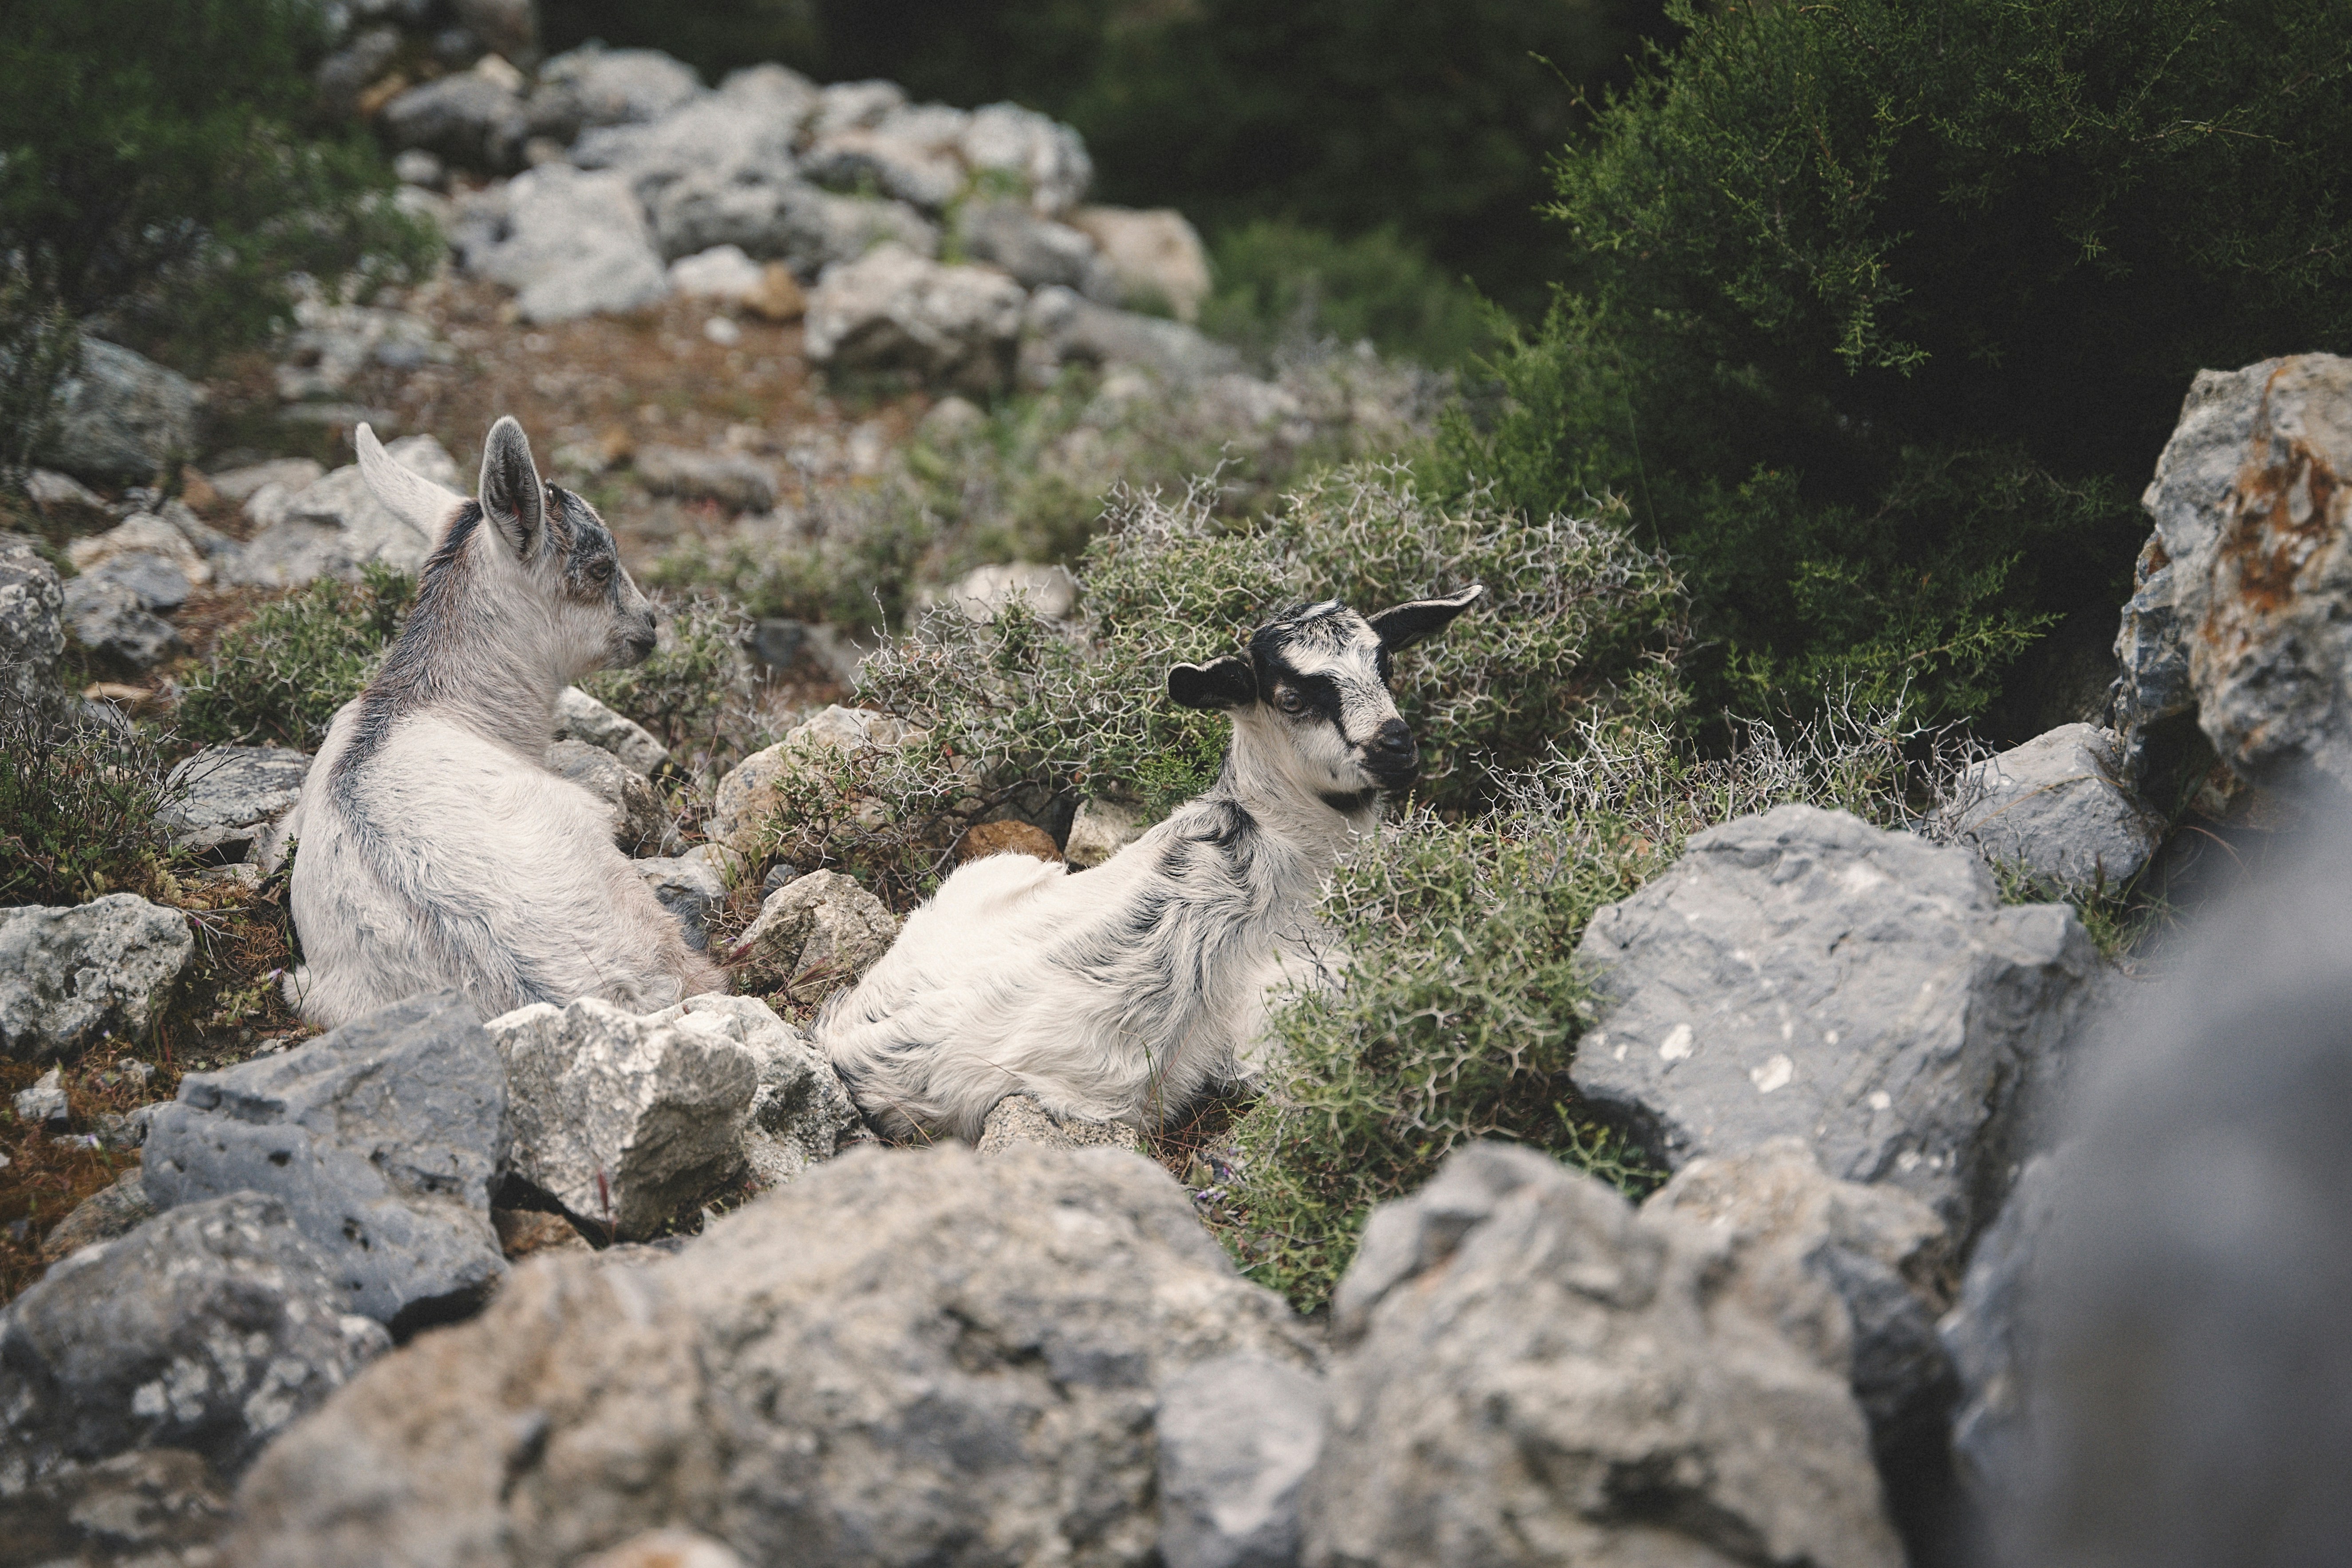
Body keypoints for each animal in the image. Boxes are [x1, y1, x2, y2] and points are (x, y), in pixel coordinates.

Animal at [816, 586, 1484, 1140]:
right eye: (1291, 699)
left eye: (1385, 666)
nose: (1397, 745)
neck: (1280, 841)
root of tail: (845, 1041)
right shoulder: (1288, 995)